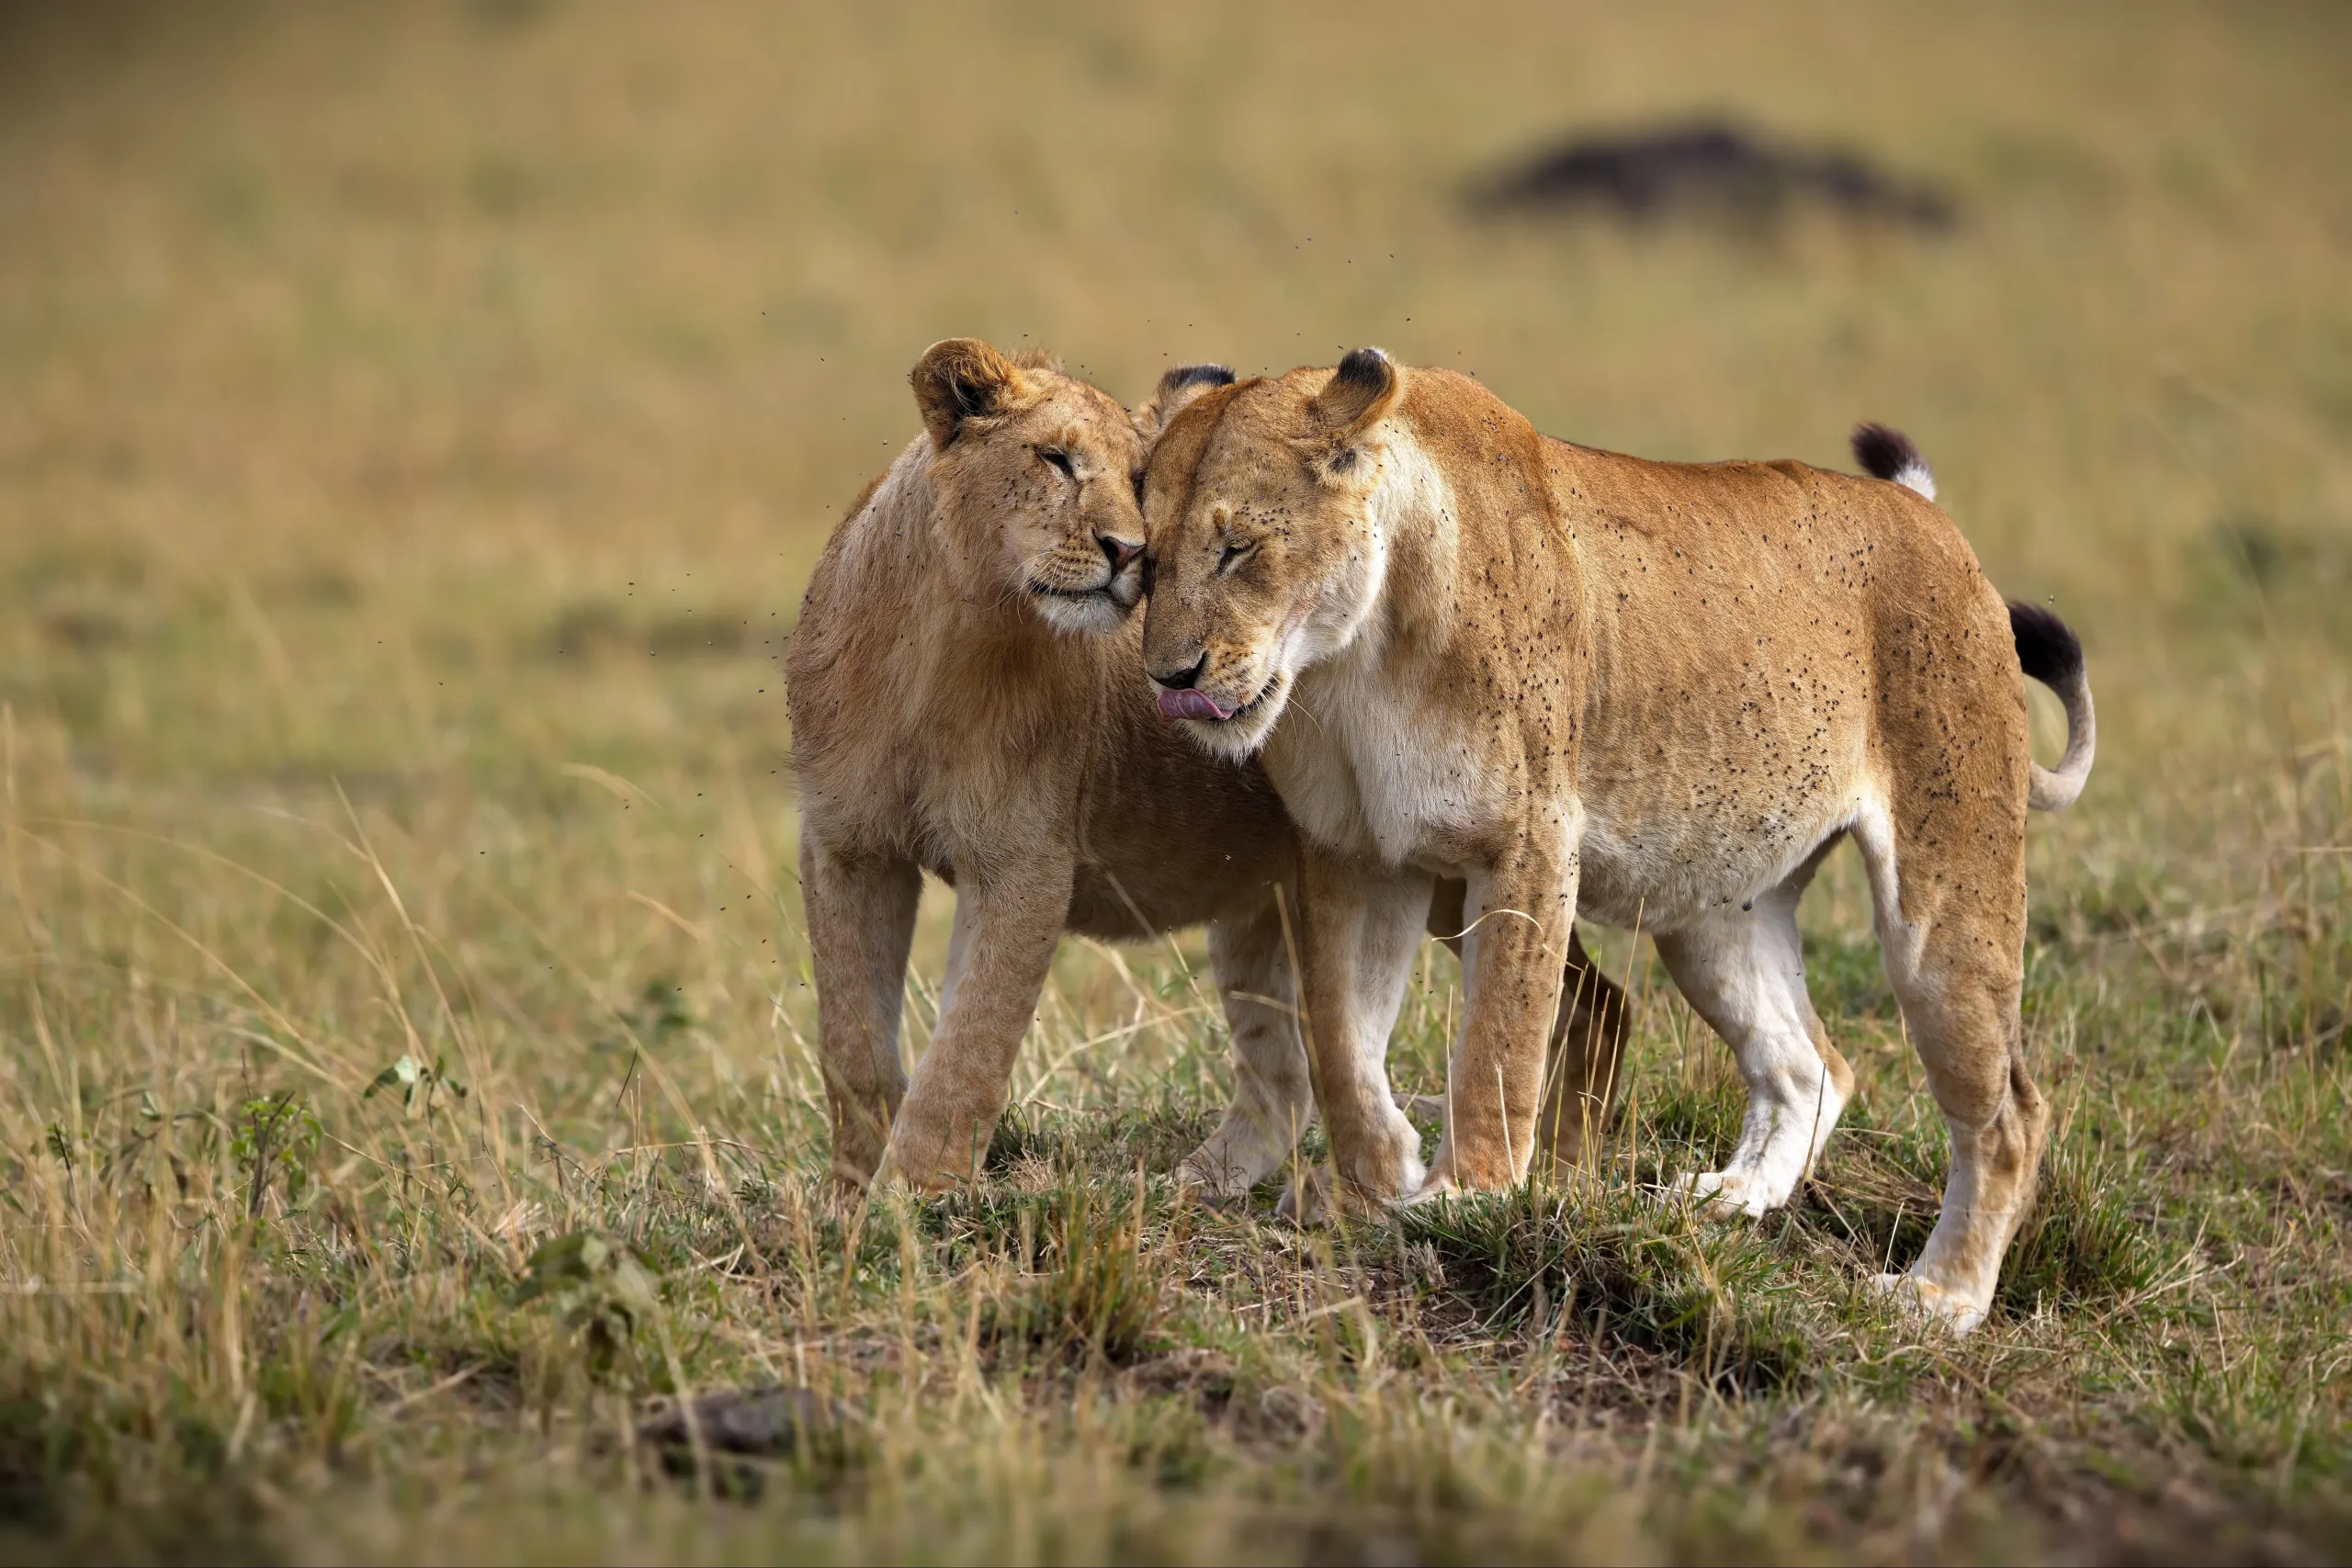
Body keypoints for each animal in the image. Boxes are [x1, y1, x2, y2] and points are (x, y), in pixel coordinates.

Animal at [786, 338, 1631, 1196]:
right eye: (1055, 458)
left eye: (1136, 479)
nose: (1126, 552)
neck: (942, 644)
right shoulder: (843, 845)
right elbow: (853, 1044)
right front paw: (849, 1196)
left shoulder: (1024, 860)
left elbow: (968, 1049)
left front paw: (912, 1196)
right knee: (1287, 1077)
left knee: (1592, 1002)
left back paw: (1556, 1173)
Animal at [1138, 349, 2095, 1331]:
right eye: (1144, 559)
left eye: (1238, 548)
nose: (1169, 676)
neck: (1350, 664)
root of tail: (1929, 517)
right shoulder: (1354, 854)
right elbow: (1340, 1037)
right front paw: (1376, 1183)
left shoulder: (1528, 842)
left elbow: (1498, 1043)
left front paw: (1465, 1195)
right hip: (1717, 916)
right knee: (1812, 1065)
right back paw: (1722, 1202)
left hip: (1945, 901)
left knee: (2009, 1116)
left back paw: (1941, 1296)